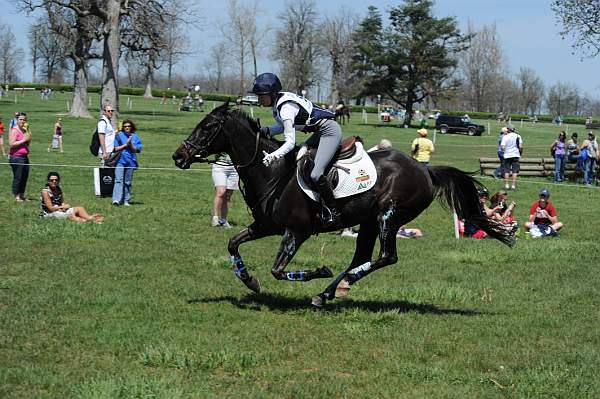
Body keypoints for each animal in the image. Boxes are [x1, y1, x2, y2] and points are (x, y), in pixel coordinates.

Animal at [171, 101, 512, 308]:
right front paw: (249, 281)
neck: (273, 173)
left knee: (386, 257)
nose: (178, 156)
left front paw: (319, 270)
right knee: (361, 257)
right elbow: (233, 243)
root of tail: (425, 169)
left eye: (206, 128)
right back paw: (328, 293)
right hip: (370, 221)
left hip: (389, 216)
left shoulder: (296, 231)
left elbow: (278, 270)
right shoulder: (267, 226)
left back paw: (336, 287)